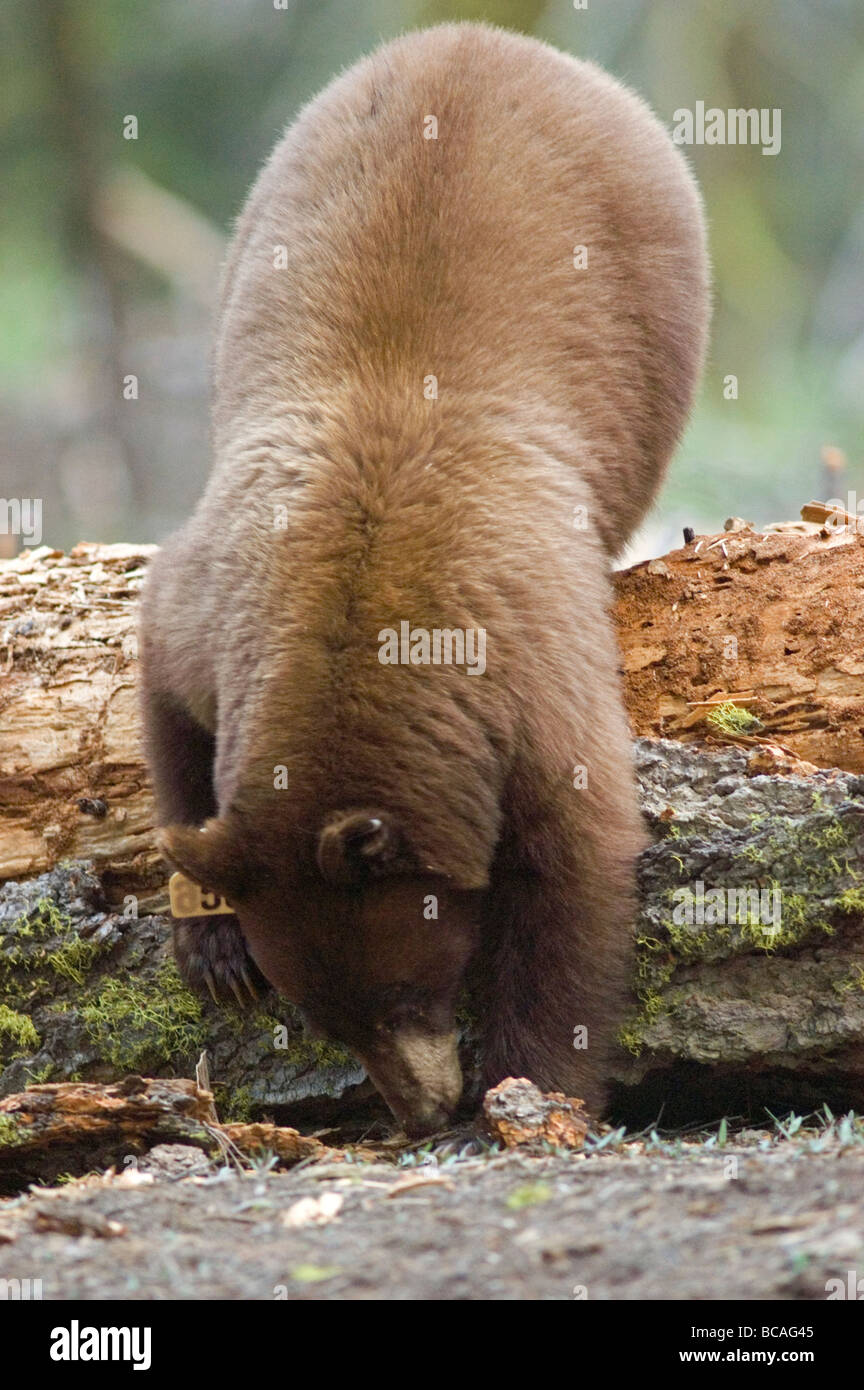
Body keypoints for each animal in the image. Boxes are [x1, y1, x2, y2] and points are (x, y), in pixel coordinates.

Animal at [139, 22, 709, 1136]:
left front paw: (528, 1088)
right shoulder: (219, 595)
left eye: (405, 994)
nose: (419, 1113)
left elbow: (578, 861)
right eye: (324, 1015)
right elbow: (165, 690)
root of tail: (488, 37)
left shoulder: (524, 671)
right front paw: (214, 937)